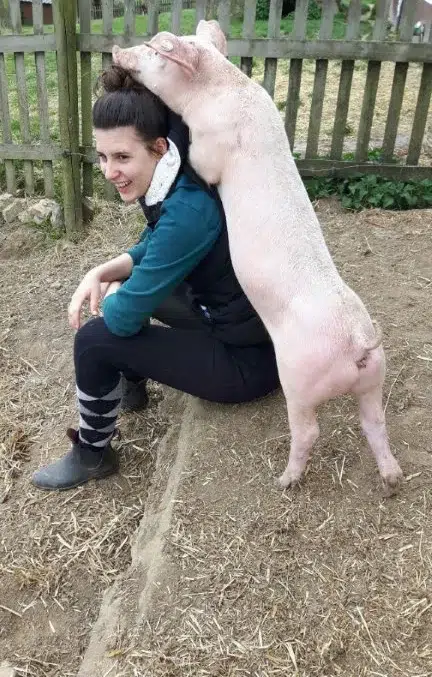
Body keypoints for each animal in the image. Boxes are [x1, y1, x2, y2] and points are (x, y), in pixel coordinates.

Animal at [112, 21, 403, 493]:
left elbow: (199, 162)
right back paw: (392, 479)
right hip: (375, 379)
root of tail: (358, 343)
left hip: (299, 378)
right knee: (375, 423)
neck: (222, 89)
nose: (119, 49)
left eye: (157, 52)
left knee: (310, 430)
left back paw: (284, 481)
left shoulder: (209, 151)